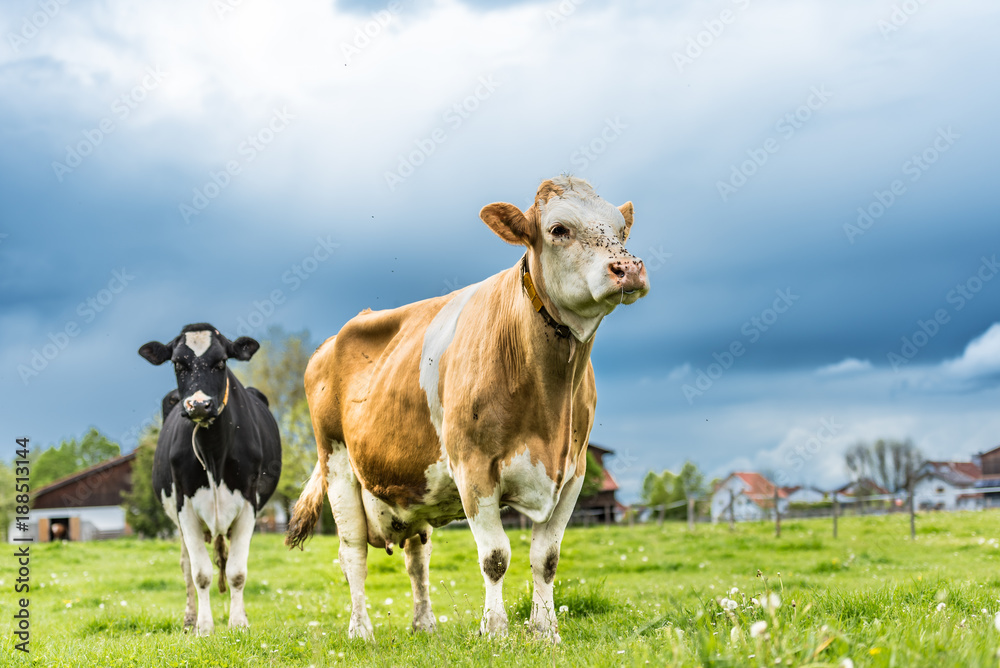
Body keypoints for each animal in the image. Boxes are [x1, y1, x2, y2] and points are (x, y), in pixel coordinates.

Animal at [138, 324, 282, 636]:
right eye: (177, 363)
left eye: (221, 362)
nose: (200, 405)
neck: (213, 452)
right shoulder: (185, 508)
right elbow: (200, 573)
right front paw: (203, 627)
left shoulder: (249, 504)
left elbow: (237, 572)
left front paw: (238, 623)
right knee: (186, 567)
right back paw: (189, 619)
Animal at [286, 175, 652, 640]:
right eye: (558, 229)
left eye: (622, 231)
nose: (629, 268)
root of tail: (331, 341)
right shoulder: (473, 467)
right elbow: (495, 556)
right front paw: (495, 629)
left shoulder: (573, 472)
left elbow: (546, 559)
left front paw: (545, 630)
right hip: (336, 463)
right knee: (352, 554)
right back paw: (361, 630)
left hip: (410, 486)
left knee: (416, 557)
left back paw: (425, 624)